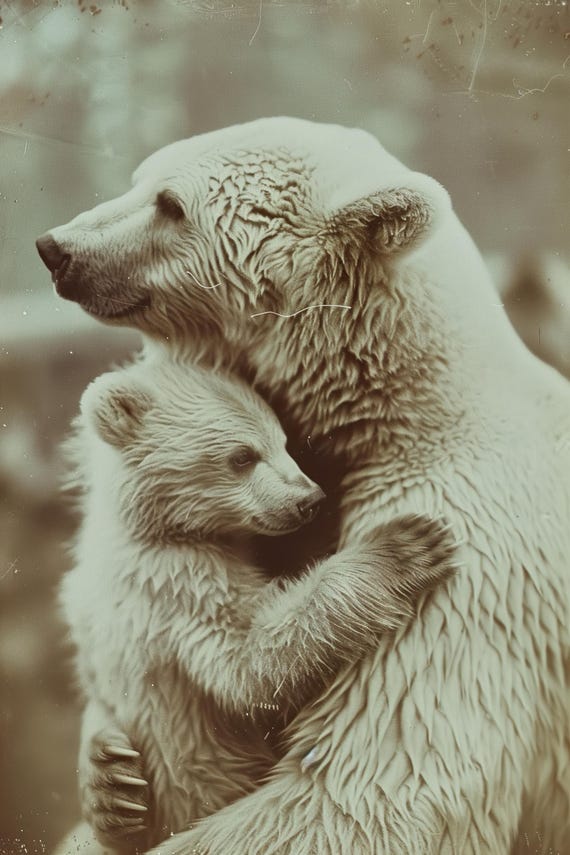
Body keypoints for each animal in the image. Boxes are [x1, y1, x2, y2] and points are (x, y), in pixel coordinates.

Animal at [58, 357, 456, 854]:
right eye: (242, 456)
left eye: (283, 441)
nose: (310, 500)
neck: (149, 527)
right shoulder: (180, 585)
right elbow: (251, 666)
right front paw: (403, 547)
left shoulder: (83, 610)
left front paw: (109, 778)